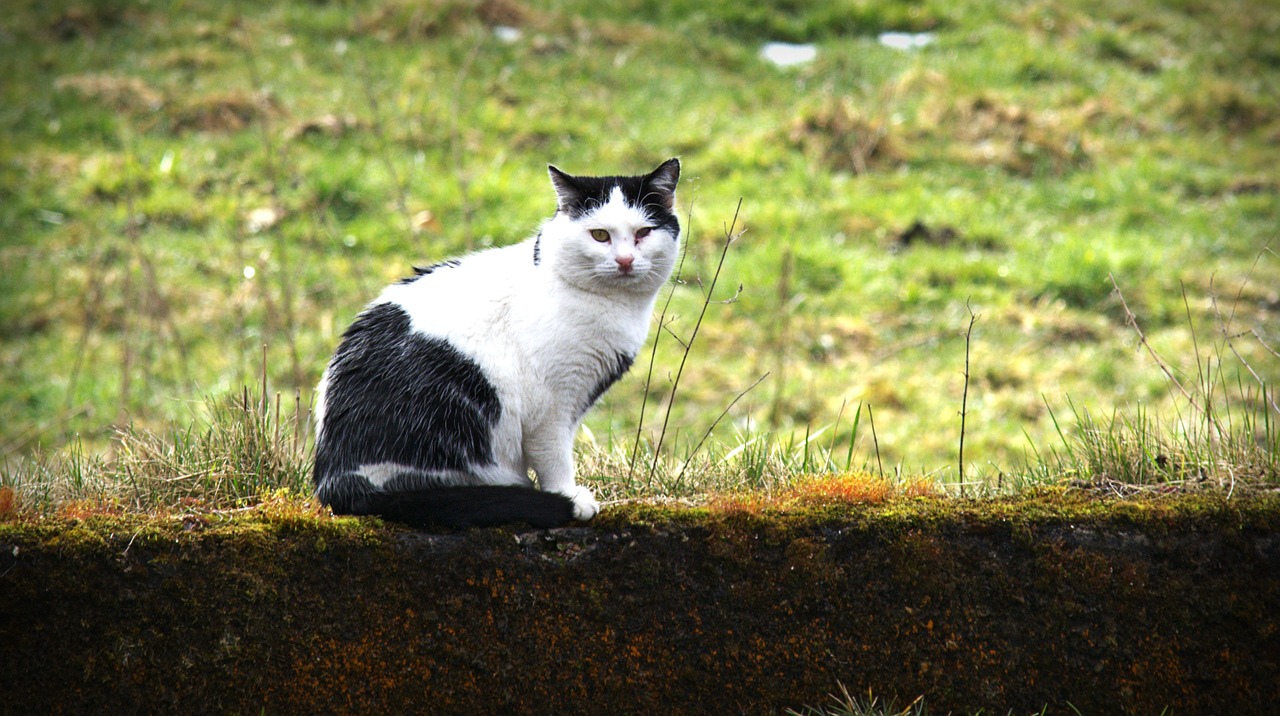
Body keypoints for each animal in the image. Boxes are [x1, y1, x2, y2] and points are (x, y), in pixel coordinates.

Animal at [312, 159, 680, 530]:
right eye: (600, 235)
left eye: (643, 233)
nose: (625, 260)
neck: (616, 308)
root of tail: (334, 480)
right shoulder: (552, 406)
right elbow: (555, 456)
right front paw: (568, 495)